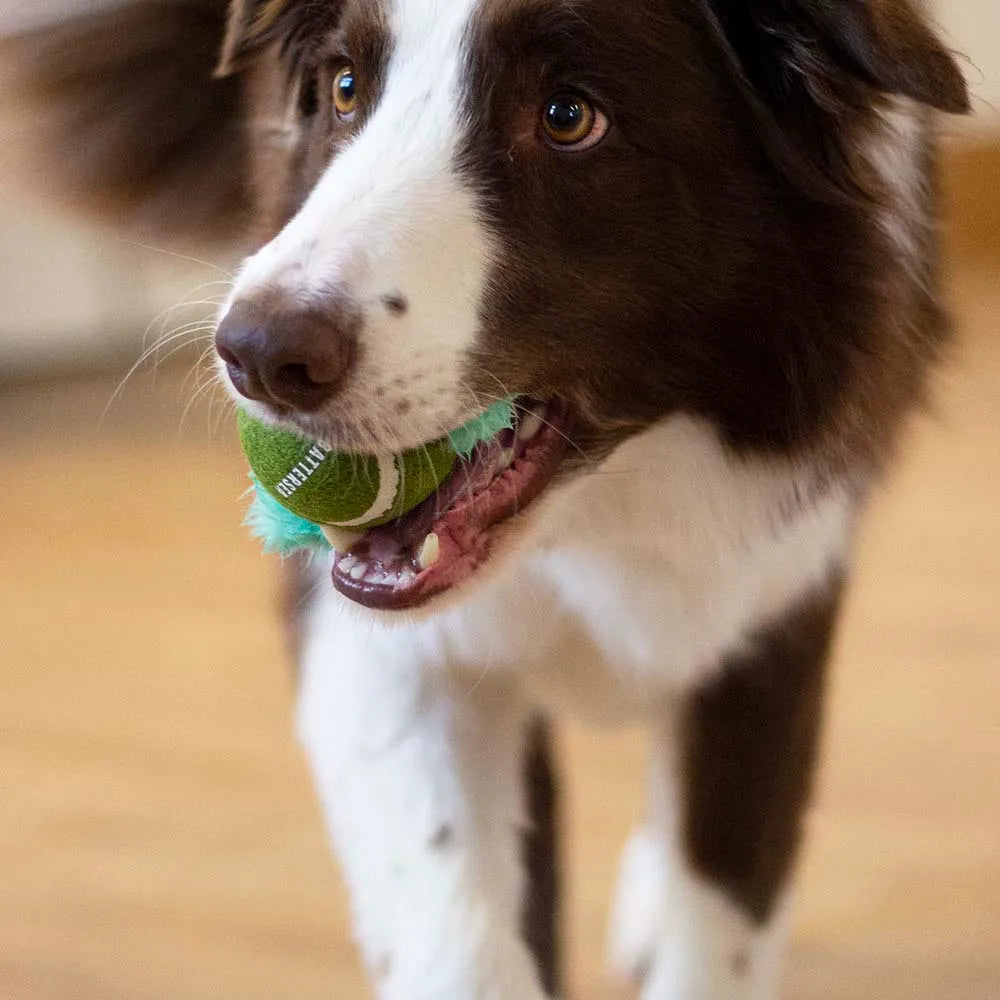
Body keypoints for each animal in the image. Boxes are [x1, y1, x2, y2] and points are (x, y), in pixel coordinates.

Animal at [5, 0, 968, 996]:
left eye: (569, 117)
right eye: (346, 88)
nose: (259, 355)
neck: (596, 509)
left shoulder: (776, 611)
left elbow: (722, 917)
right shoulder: (381, 654)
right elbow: (459, 929)